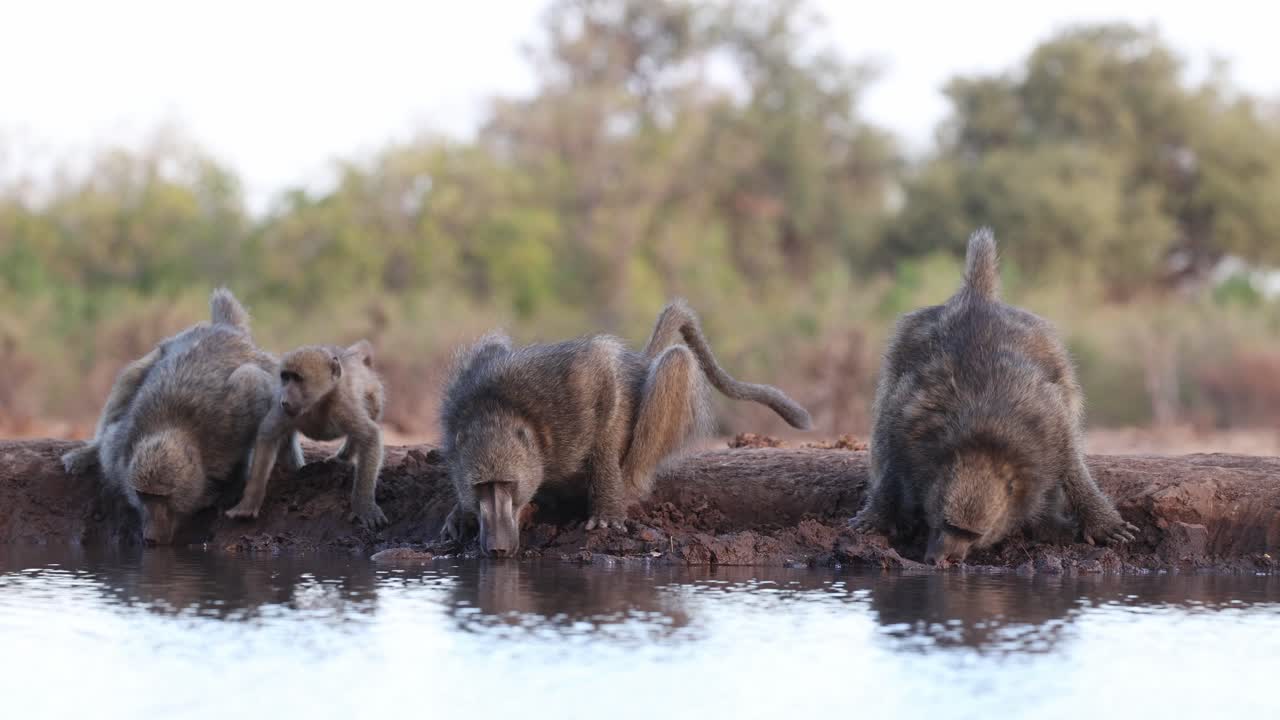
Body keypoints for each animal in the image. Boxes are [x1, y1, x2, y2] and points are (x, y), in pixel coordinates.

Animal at [63, 288, 279, 544]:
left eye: (163, 497)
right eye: (143, 496)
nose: (150, 537)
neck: (175, 428)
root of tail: (225, 328)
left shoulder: (234, 419)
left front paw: (232, 489)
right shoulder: (117, 454)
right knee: (133, 374)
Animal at [225, 340, 388, 529]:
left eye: (297, 378)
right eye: (286, 377)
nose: (285, 398)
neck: (314, 404)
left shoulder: (341, 405)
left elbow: (370, 436)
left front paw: (364, 506)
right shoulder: (284, 410)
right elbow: (268, 435)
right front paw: (248, 504)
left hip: (373, 393)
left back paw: (342, 458)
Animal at [440, 299, 813, 556]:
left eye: (507, 485)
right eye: (483, 487)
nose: (498, 548)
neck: (501, 409)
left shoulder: (577, 386)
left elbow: (604, 376)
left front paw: (607, 510)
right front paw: (459, 513)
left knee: (675, 361)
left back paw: (629, 486)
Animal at [851, 229, 1139, 567]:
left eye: (972, 534)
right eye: (947, 524)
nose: (941, 560)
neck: (985, 442)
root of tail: (978, 299)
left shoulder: (1050, 431)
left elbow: (1071, 465)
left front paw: (1100, 523)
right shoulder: (908, 424)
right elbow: (891, 454)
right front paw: (879, 515)